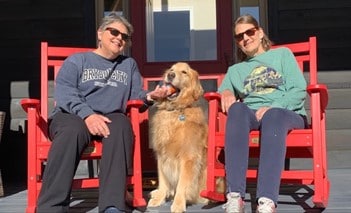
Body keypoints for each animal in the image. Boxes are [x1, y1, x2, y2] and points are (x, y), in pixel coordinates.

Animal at [148, 61, 210, 211]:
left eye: (184, 72)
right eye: (171, 69)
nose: (170, 75)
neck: (175, 110)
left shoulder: (188, 157)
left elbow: (183, 183)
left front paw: (178, 204)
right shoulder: (162, 155)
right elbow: (163, 181)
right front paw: (159, 198)